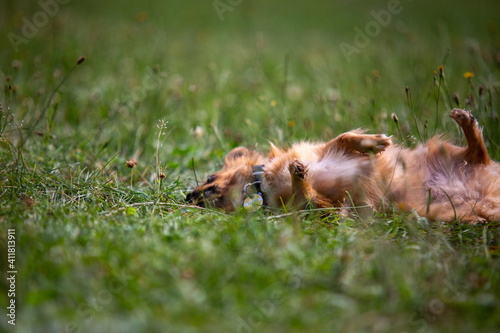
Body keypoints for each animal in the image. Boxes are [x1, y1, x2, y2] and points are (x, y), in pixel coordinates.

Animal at [187, 109, 500, 222]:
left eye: (210, 176)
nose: (189, 195)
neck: (264, 185)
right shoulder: (331, 209)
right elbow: (308, 195)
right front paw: (299, 177)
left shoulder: (324, 150)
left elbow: (344, 137)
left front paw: (373, 142)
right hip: (439, 211)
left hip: (446, 152)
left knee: (478, 153)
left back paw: (466, 122)